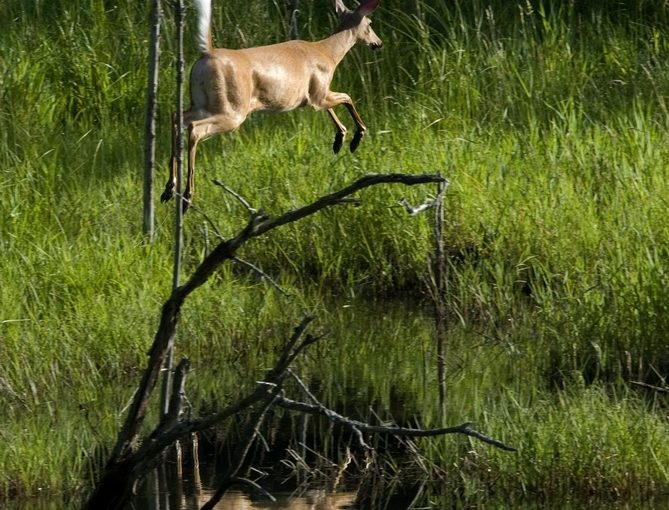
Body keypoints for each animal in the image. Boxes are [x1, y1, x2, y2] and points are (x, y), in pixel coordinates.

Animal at [160, 0, 380, 209]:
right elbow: (347, 97)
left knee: (176, 117)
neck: (328, 53)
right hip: (233, 108)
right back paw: (187, 196)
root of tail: (207, 54)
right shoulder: (319, 92)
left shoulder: (314, 96)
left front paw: (339, 139)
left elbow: (332, 108)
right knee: (195, 129)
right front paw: (356, 137)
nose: (378, 43)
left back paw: (169, 189)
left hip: (203, 102)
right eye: (370, 24)